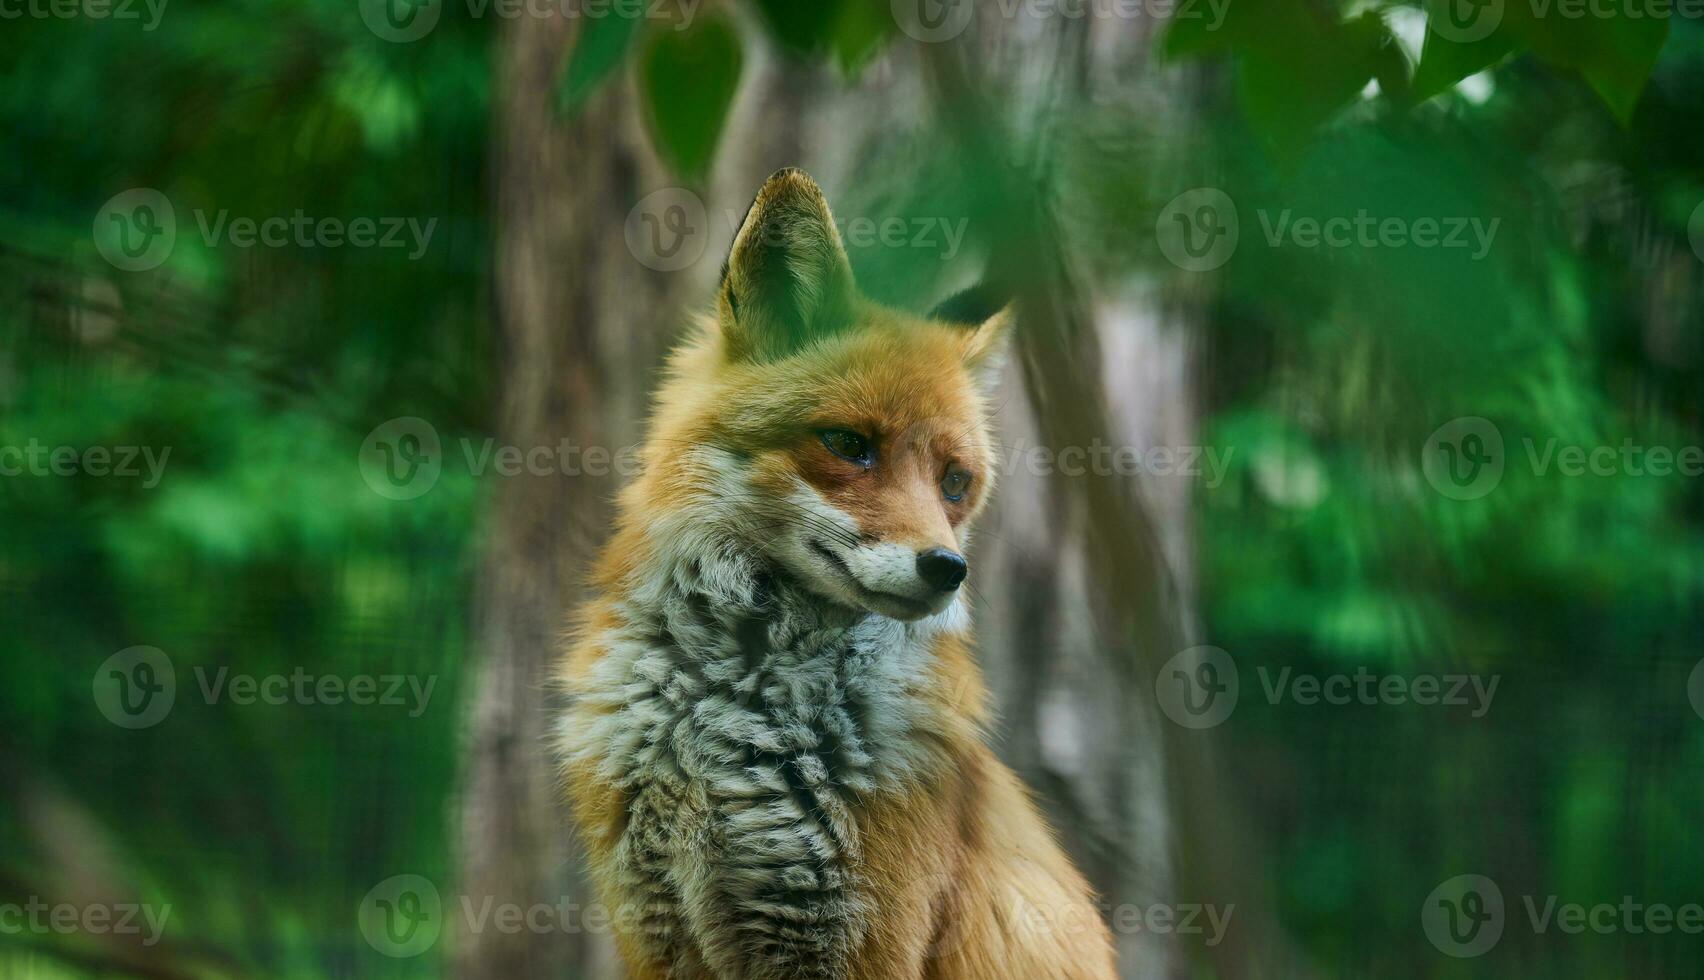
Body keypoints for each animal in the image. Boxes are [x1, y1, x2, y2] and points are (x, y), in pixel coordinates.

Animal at [562, 170, 1117, 980]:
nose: (948, 569)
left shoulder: (856, 938)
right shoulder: (654, 932)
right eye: (850, 445)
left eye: (954, 483)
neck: (731, 711)